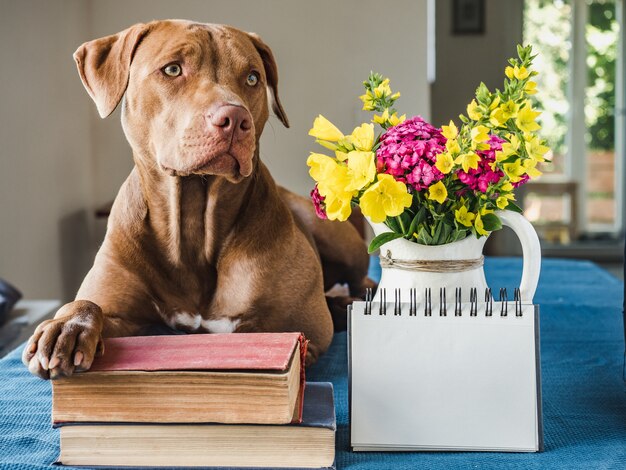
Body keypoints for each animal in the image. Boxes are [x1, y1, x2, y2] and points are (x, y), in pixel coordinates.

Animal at [22, 20, 368, 378]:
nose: (235, 119)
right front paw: (68, 326)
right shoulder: (122, 312)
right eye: (173, 69)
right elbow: (90, 305)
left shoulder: (301, 325)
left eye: (252, 78)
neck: (193, 221)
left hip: (337, 238)